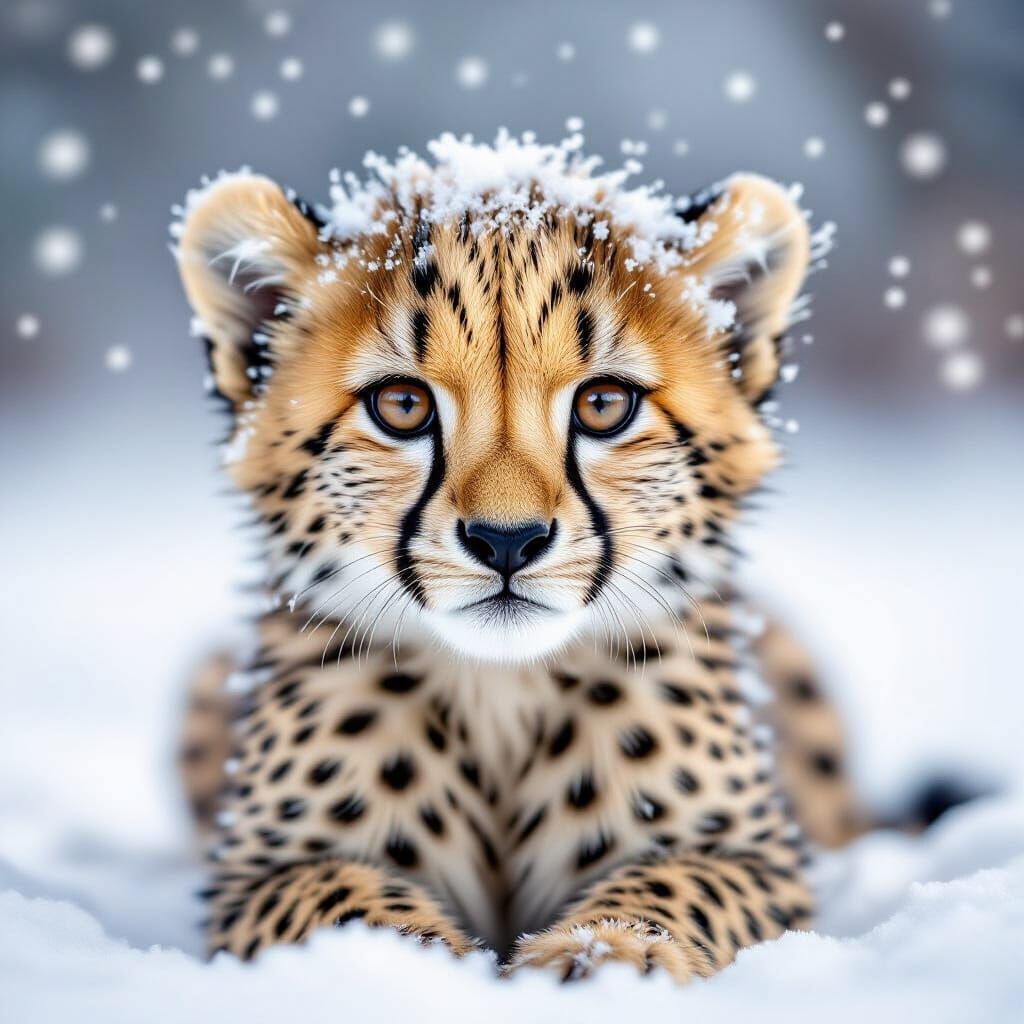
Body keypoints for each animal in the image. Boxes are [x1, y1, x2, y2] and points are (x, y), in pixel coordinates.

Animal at [170, 133, 921, 982]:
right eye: (403, 406)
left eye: (604, 405)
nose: (507, 540)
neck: (501, 694)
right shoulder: (265, 868)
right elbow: (342, 902)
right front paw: (411, 969)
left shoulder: (748, 853)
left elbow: (672, 886)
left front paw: (606, 954)